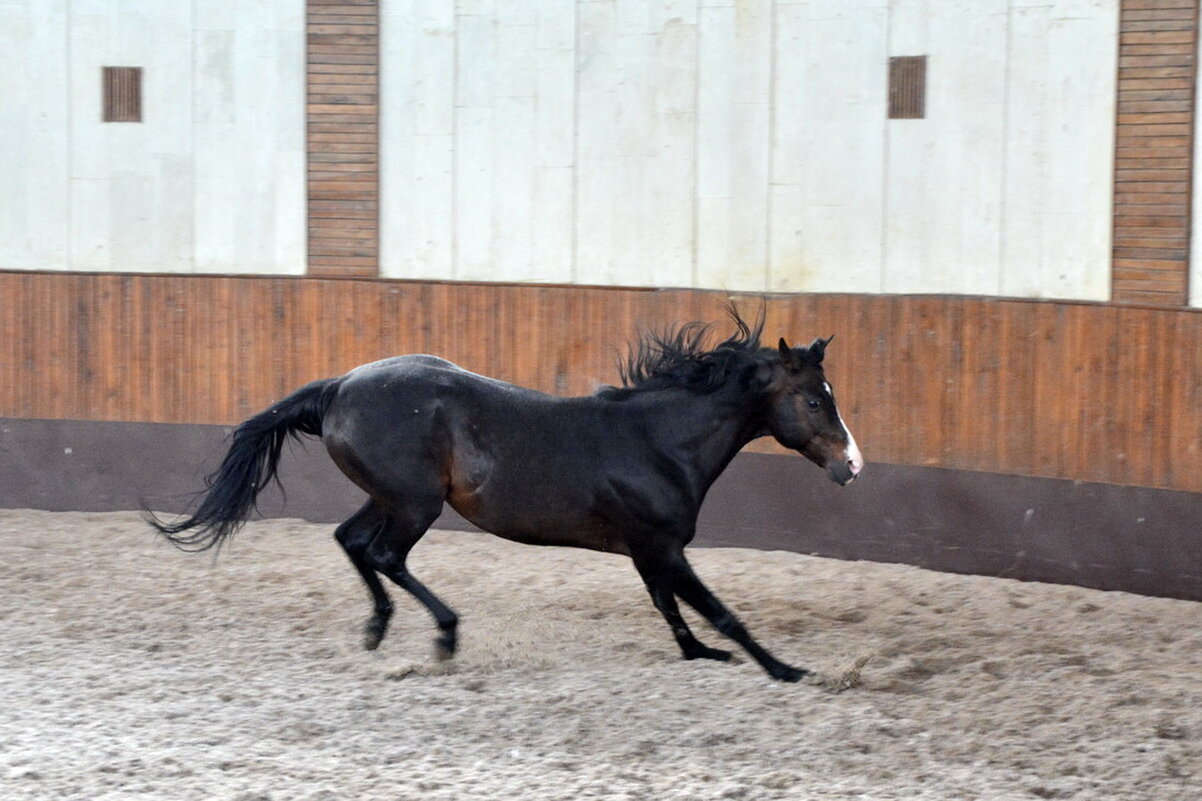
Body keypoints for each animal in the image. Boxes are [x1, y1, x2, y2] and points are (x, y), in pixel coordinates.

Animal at [150, 306, 865, 678]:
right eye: (812, 398)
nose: (852, 464)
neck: (658, 441)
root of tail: (338, 387)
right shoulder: (662, 546)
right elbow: (720, 611)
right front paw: (787, 670)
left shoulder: (649, 552)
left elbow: (671, 610)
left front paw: (701, 656)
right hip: (416, 504)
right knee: (382, 554)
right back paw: (444, 636)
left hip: (391, 497)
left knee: (350, 540)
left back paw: (377, 630)